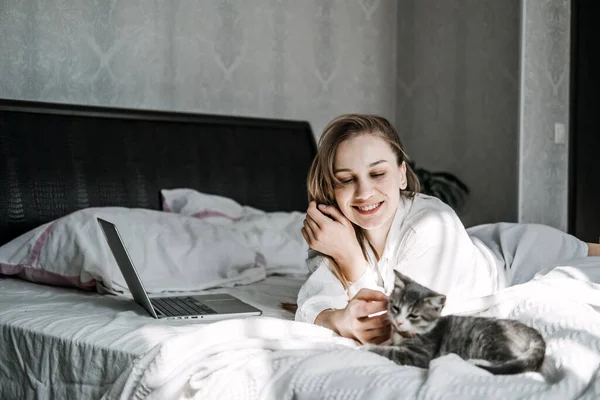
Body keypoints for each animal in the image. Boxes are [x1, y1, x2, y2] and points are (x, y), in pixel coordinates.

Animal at [366, 270, 548, 374]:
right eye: (396, 308)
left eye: (413, 315)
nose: (399, 322)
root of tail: (531, 331)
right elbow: (389, 345)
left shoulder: (420, 355)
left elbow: (391, 352)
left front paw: (366, 347)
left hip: (487, 337)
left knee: (509, 360)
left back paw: (475, 362)